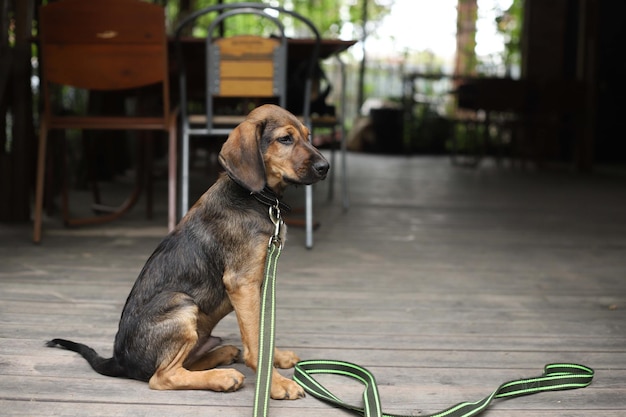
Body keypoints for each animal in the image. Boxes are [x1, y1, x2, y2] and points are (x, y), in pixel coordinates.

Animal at [46, 104, 330, 400]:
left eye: (308, 136)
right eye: (285, 139)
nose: (325, 167)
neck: (256, 198)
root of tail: (118, 360)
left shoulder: (259, 284)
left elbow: (262, 330)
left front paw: (277, 358)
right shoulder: (242, 283)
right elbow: (255, 339)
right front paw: (275, 384)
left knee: (186, 363)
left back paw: (223, 354)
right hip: (181, 304)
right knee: (163, 376)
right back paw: (222, 377)